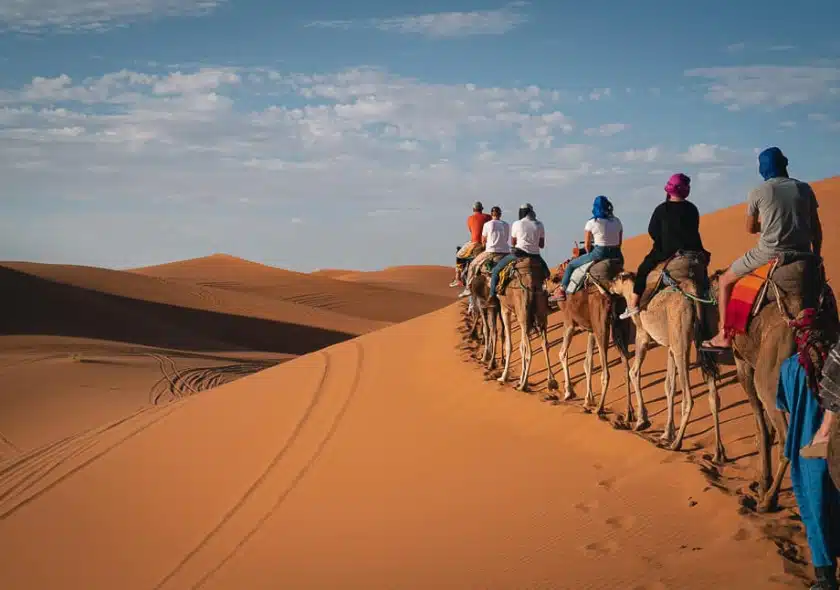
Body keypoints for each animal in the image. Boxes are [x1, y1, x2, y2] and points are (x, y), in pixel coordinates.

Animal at [544, 262, 632, 418]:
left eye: (548, 278)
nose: (543, 284)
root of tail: (611, 297)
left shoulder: (569, 323)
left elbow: (562, 354)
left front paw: (569, 392)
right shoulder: (591, 330)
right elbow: (588, 362)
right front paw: (588, 400)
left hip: (602, 328)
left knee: (606, 372)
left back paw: (600, 409)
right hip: (619, 326)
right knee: (626, 363)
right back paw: (631, 414)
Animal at [608, 260, 724, 468]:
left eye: (616, 278)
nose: (609, 285)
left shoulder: (643, 335)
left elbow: (634, 372)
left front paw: (642, 420)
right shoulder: (669, 346)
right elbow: (669, 386)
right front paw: (666, 433)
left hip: (681, 341)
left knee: (688, 397)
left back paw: (677, 443)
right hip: (703, 337)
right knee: (713, 395)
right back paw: (718, 454)